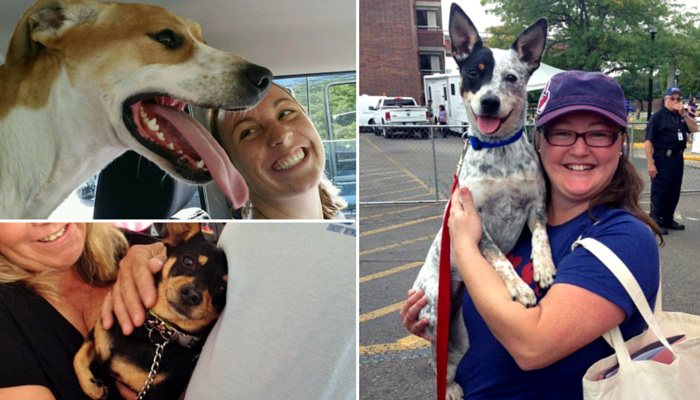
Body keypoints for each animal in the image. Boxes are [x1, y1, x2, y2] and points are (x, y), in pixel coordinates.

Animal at [74, 223, 227, 398]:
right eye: (188, 261)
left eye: (223, 289)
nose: (192, 294)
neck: (158, 328)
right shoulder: (97, 333)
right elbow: (78, 357)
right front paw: (93, 387)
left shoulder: (156, 392)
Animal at [416, 4, 556, 398]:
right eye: (473, 73)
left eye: (511, 77)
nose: (489, 101)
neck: (500, 154)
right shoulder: (475, 220)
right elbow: (500, 260)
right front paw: (520, 288)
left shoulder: (536, 207)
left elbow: (541, 238)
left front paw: (543, 266)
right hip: (434, 313)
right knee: (435, 360)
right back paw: (448, 386)